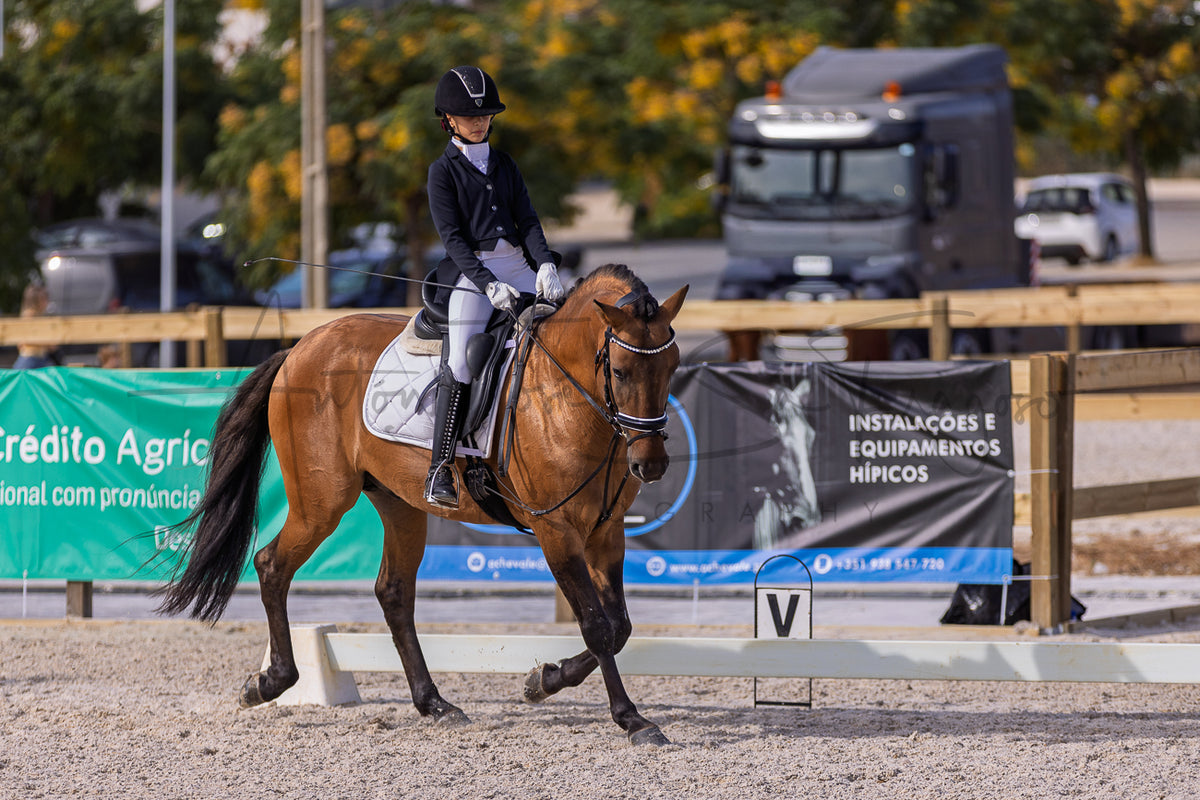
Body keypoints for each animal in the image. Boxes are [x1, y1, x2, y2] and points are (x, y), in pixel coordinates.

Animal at [156, 263, 689, 746]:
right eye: (619, 371)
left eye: (672, 367)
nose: (651, 464)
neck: (566, 398)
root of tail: (300, 347)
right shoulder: (556, 531)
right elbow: (597, 627)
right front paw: (631, 719)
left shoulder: (606, 531)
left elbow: (620, 626)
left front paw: (544, 680)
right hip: (321, 503)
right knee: (272, 565)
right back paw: (269, 682)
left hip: (399, 503)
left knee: (393, 592)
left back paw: (434, 703)